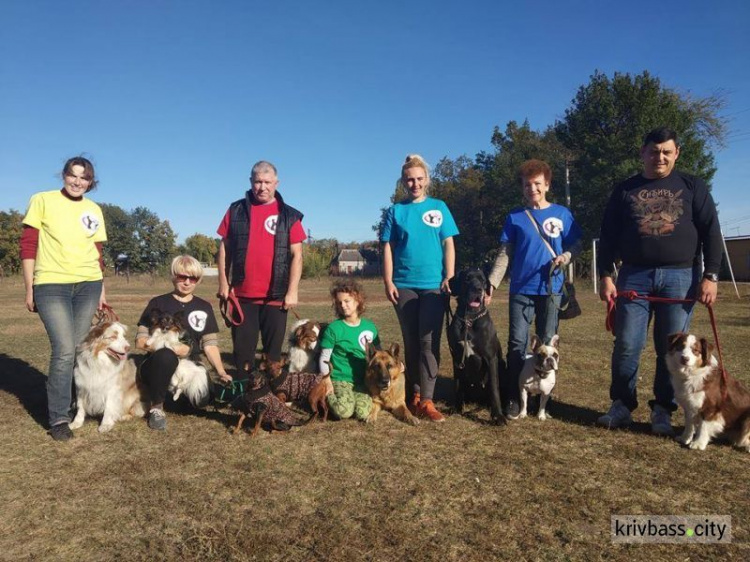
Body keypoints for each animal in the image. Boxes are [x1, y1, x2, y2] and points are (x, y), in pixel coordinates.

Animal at [450, 266, 508, 420]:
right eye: (467, 278)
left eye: (482, 280)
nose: (478, 289)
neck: (470, 319)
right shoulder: (457, 358)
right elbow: (457, 385)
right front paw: (456, 408)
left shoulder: (491, 358)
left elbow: (494, 387)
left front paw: (498, 416)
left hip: (502, 364)